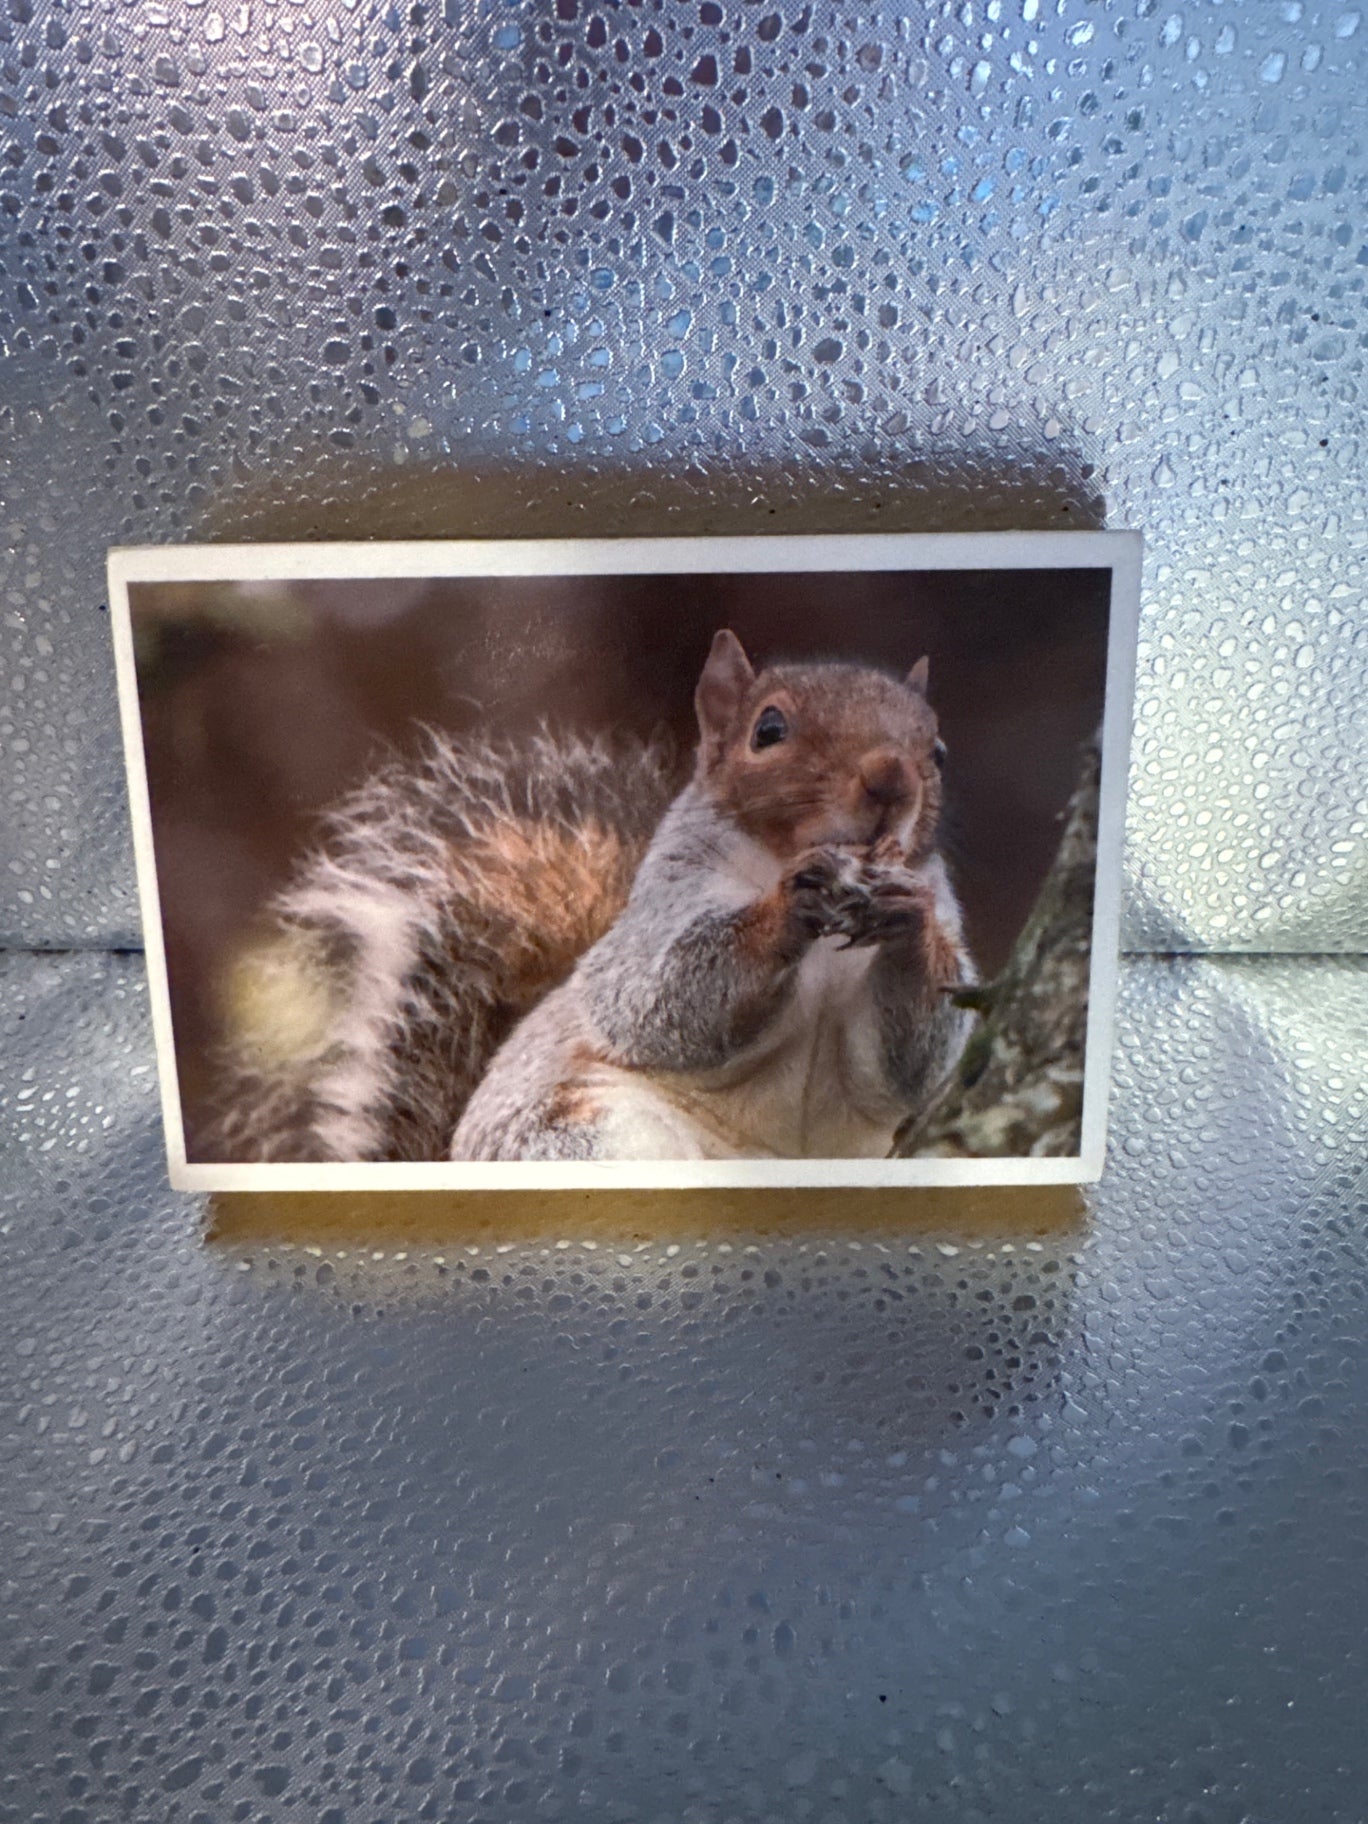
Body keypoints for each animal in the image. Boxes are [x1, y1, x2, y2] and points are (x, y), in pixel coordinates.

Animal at [203, 632, 975, 1164]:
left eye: (938, 750)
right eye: (769, 730)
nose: (891, 780)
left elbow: (915, 1065)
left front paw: (908, 923)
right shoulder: (661, 906)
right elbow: (655, 998)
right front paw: (787, 907)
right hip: (587, 1139)